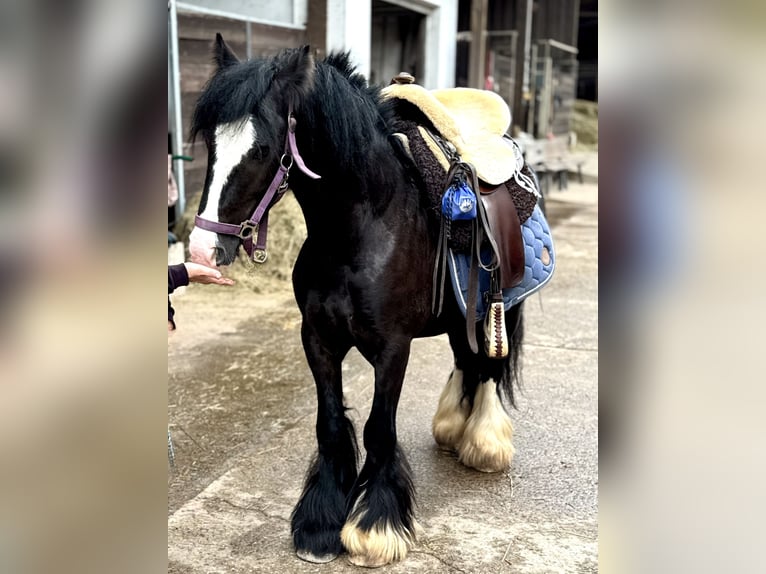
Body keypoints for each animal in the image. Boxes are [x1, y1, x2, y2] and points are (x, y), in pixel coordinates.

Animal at [188, 35, 526, 567]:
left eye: (261, 148)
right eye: (212, 143)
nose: (202, 250)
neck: (359, 232)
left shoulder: (393, 348)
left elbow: (378, 430)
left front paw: (374, 529)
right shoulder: (318, 339)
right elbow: (330, 423)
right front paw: (320, 523)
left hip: (500, 307)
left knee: (489, 366)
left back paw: (484, 444)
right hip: (462, 313)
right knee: (464, 359)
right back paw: (454, 427)